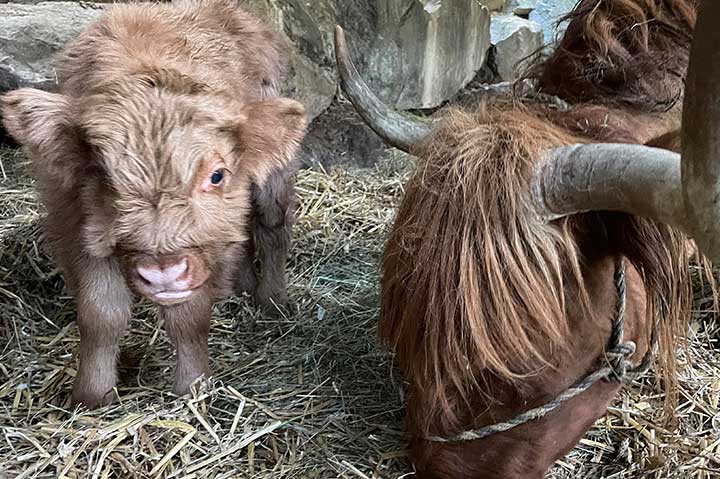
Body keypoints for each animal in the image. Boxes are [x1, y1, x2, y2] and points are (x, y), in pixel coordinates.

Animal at [0, 0, 306, 408]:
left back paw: (272, 299)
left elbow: (189, 317)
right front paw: (91, 396)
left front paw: (192, 387)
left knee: (272, 227)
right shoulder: (76, 227)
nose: (163, 273)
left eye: (216, 175)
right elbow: (100, 314)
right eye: (104, 176)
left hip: (273, 180)